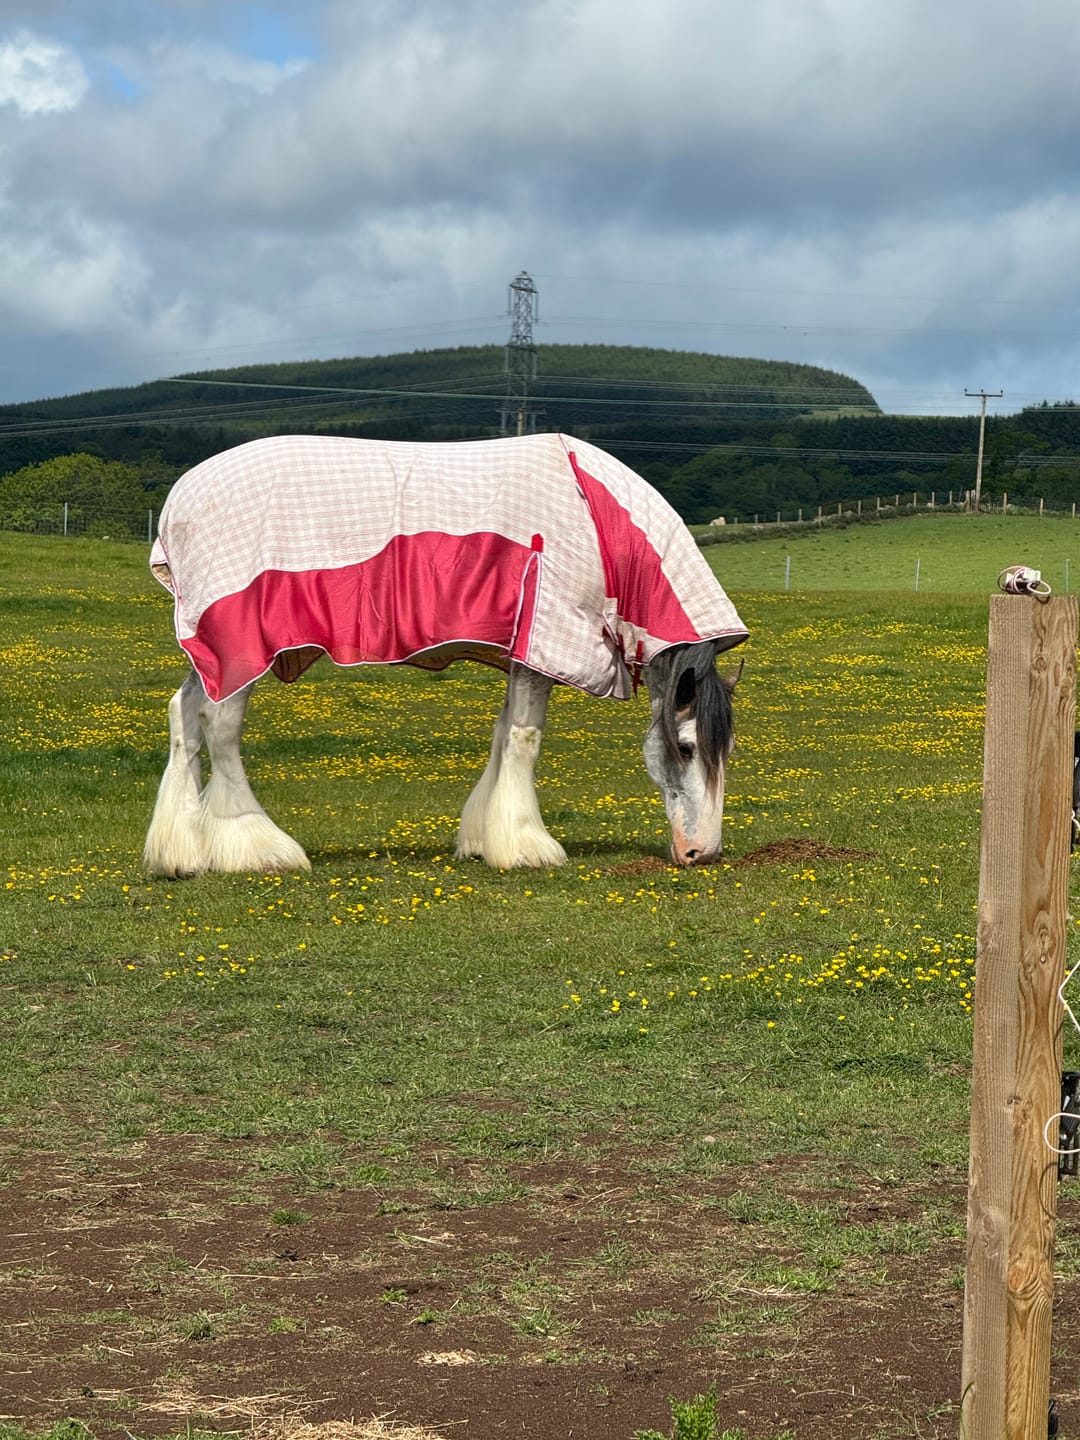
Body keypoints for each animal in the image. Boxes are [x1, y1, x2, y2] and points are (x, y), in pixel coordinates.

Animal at [142, 433, 748, 876]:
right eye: (687, 747)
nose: (702, 853)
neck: (600, 521)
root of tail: (178, 500)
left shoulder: (519, 652)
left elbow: (504, 735)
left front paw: (484, 837)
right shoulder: (543, 640)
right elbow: (525, 739)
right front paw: (526, 844)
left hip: (210, 653)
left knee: (184, 716)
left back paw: (182, 853)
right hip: (239, 649)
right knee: (220, 726)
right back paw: (256, 846)